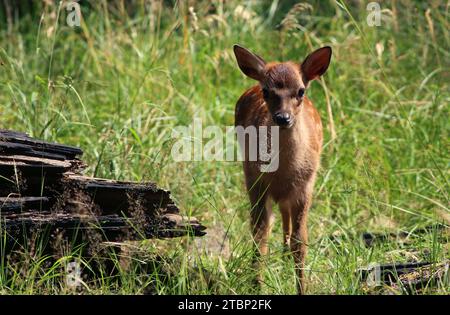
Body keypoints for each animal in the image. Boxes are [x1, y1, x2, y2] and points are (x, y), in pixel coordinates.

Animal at [234, 45, 332, 296]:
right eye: (267, 91)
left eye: (300, 91)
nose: (283, 117)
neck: (284, 170)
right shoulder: (256, 183)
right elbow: (260, 236)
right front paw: (256, 286)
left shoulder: (305, 187)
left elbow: (301, 242)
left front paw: (302, 288)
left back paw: (286, 251)